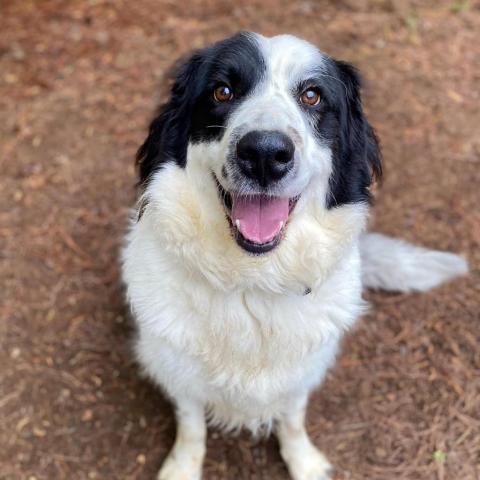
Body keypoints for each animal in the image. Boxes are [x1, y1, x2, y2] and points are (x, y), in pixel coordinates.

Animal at [121, 33, 468, 480]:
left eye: (311, 96)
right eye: (222, 91)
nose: (264, 154)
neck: (254, 279)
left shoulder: (304, 370)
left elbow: (292, 418)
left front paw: (304, 462)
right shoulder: (177, 372)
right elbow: (192, 426)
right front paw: (182, 468)